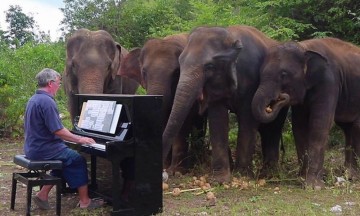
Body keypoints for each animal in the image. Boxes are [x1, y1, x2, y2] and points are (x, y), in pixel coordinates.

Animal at [162, 25, 288, 184]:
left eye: (209, 66)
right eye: (180, 62)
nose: (164, 174)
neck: (230, 36)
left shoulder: (251, 79)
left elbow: (247, 118)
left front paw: (242, 176)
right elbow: (218, 118)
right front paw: (220, 181)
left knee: (273, 128)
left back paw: (270, 174)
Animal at [252, 37, 360, 189]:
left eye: (283, 74)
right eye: (260, 73)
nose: (281, 97)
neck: (304, 46)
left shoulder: (329, 82)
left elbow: (320, 124)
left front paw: (313, 186)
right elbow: (299, 126)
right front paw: (302, 179)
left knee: (356, 127)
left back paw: (352, 177)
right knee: (348, 127)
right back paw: (348, 175)